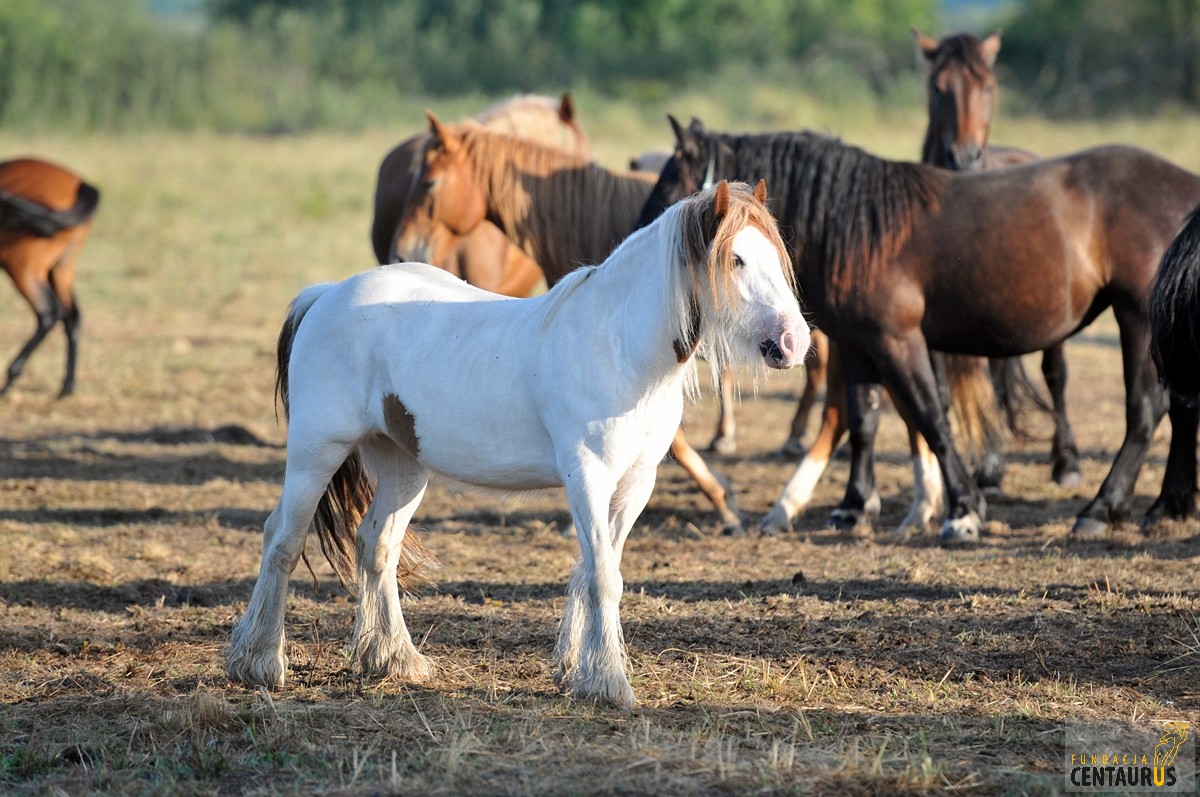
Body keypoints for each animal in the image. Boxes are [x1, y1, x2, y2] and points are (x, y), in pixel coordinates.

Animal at [0, 158, 100, 398]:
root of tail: (80, 184)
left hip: (23, 269)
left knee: (48, 314)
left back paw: (9, 381)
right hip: (60, 268)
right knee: (72, 315)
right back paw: (66, 387)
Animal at [226, 182, 806, 710]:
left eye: (778, 260)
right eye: (735, 259)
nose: (794, 342)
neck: (618, 346)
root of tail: (326, 295)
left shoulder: (635, 484)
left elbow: (595, 570)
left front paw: (576, 671)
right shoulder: (587, 477)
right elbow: (603, 576)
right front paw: (610, 684)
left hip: (404, 465)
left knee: (377, 546)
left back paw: (393, 660)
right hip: (316, 452)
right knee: (282, 539)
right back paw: (260, 663)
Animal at [643, 118, 1200, 544]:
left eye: (671, 188)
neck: (856, 224)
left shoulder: (898, 341)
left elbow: (931, 418)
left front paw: (963, 511)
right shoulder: (860, 343)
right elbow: (864, 419)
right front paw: (854, 506)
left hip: (1137, 318)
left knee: (1145, 411)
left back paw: (1102, 508)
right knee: (1181, 405)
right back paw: (1168, 505)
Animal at [912, 28, 1084, 492]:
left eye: (988, 87)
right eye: (937, 88)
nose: (964, 157)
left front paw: (989, 467)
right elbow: (940, 392)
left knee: (1055, 375)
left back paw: (1067, 462)